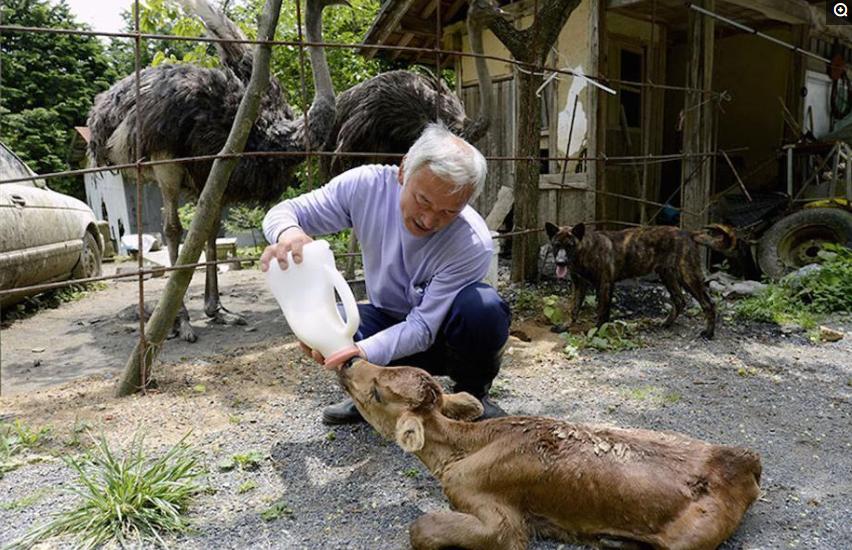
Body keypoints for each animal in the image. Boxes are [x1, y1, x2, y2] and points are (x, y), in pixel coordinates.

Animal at [336, 362, 764, 550]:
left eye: (378, 392)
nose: (349, 361)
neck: (461, 452)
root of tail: (745, 460)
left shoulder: (504, 522)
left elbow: (421, 527)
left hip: (695, 536)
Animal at [544, 222, 712, 338]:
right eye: (556, 245)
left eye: (570, 246)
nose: (560, 262)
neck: (585, 251)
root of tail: (688, 233)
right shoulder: (579, 284)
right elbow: (574, 309)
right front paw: (564, 326)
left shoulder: (605, 284)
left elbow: (602, 311)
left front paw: (598, 331)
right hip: (667, 275)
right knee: (679, 301)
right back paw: (665, 323)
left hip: (687, 276)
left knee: (708, 303)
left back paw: (709, 333)